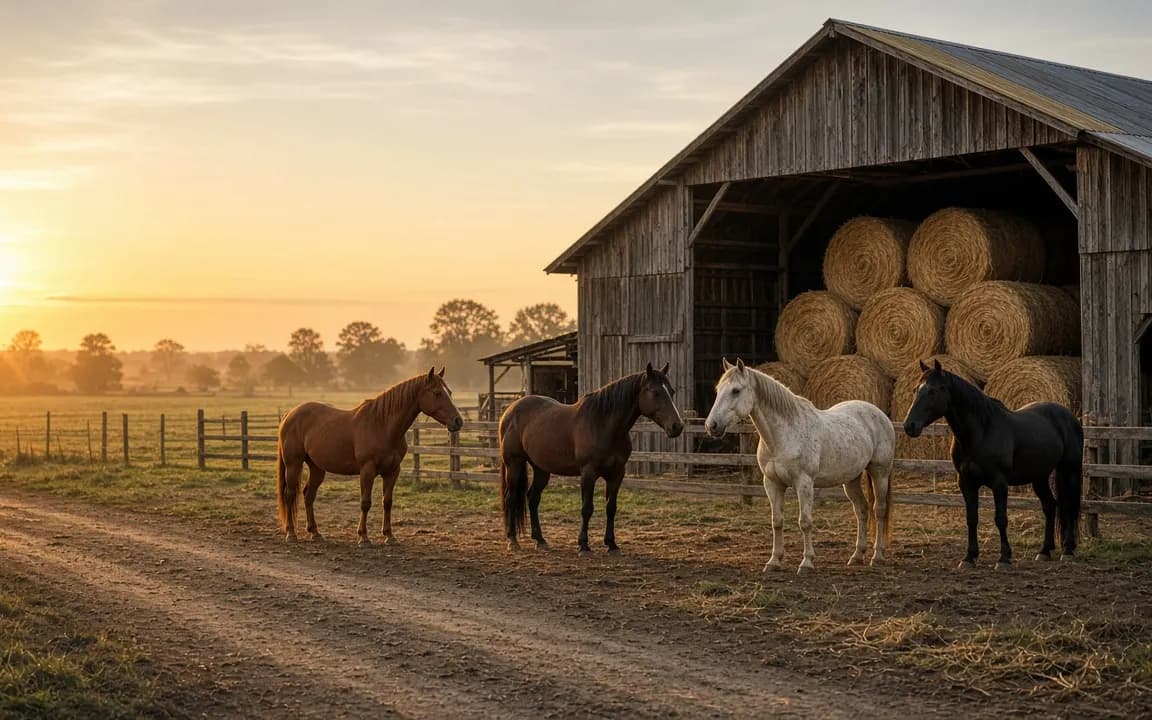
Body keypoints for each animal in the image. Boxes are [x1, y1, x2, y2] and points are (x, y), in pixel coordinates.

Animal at [276, 367, 463, 545]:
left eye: (450, 392)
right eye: (437, 393)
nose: (458, 421)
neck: (382, 426)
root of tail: (289, 415)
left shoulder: (392, 471)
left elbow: (387, 502)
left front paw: (389, 536)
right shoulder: (367, 470)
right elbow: (365, 503)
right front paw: (363, 537)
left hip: (317, 467)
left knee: (308, 495)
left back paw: (315, 533)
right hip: (293, 465)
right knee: (290, 494)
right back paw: (291, 534)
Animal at [499, 363, 685, 554]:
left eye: (671, 391)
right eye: (655, 392)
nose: (677, 426)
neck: (603, 425)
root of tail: (510, 410)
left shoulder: (617, 474)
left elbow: (611, 507)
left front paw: (611, 544)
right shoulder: (588, 473)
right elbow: (586, 508)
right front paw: (583, 545)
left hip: (541, 469)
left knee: (532, 499)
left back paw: (540, 539)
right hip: (513, 464)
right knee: (510, 498)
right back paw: (512, 540)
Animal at [705, 358, 894, 573]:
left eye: (736, 390)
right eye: (718, 390)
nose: (712, 425)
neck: (783, 435)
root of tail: (879, 414)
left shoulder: (804, 483)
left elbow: (805, 522)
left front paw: (807, 562)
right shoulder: (772, 483)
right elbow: (777, 521)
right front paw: (774, 561)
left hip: (880, 472)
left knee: (879, 510)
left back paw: (877, 556)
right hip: (851, 479)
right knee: (862, 510)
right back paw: (857, 556)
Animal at [902, 359, 1083, 569]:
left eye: (933, 391)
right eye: (915, 390)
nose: (909, 426)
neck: (981, 432)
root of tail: (1069, 415)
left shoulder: (999, 483)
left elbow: (1001, 519)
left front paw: (1004, 558)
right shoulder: (966, 483)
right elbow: (972, 518)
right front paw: (969, 557)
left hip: (1070, 471)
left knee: (1069, 507)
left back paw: (1068, 550)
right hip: (1039, 477)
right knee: (1050, 505)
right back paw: (1044, 551)